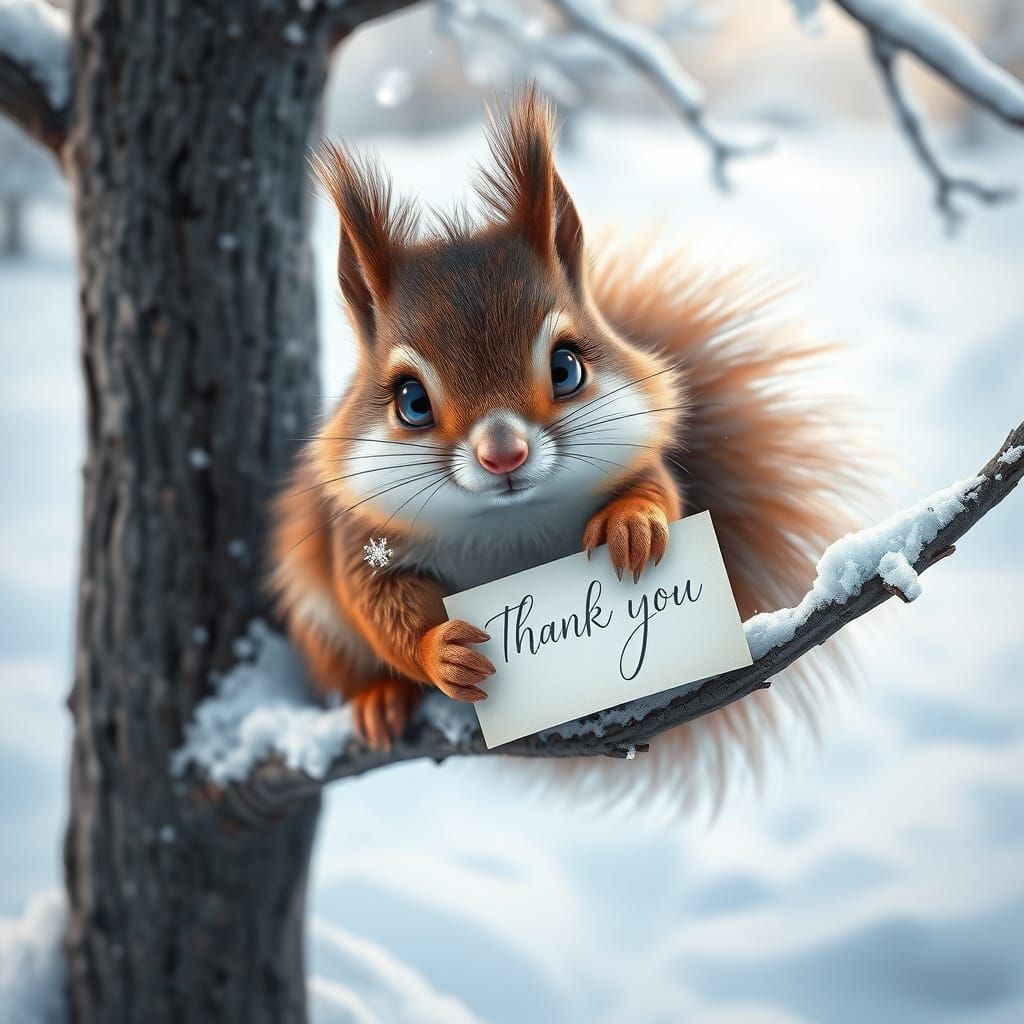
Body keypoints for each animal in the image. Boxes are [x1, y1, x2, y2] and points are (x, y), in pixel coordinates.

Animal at [270, 87, 866, 787]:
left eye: (566, 367)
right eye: (410, 401)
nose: (504, 454)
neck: (509, 522)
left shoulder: (637, 459)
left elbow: (660, 493)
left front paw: (632, 527)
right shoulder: (362, 535)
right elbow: (374, 602)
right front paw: (442, 650)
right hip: (316, 621)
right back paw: (379, 699)